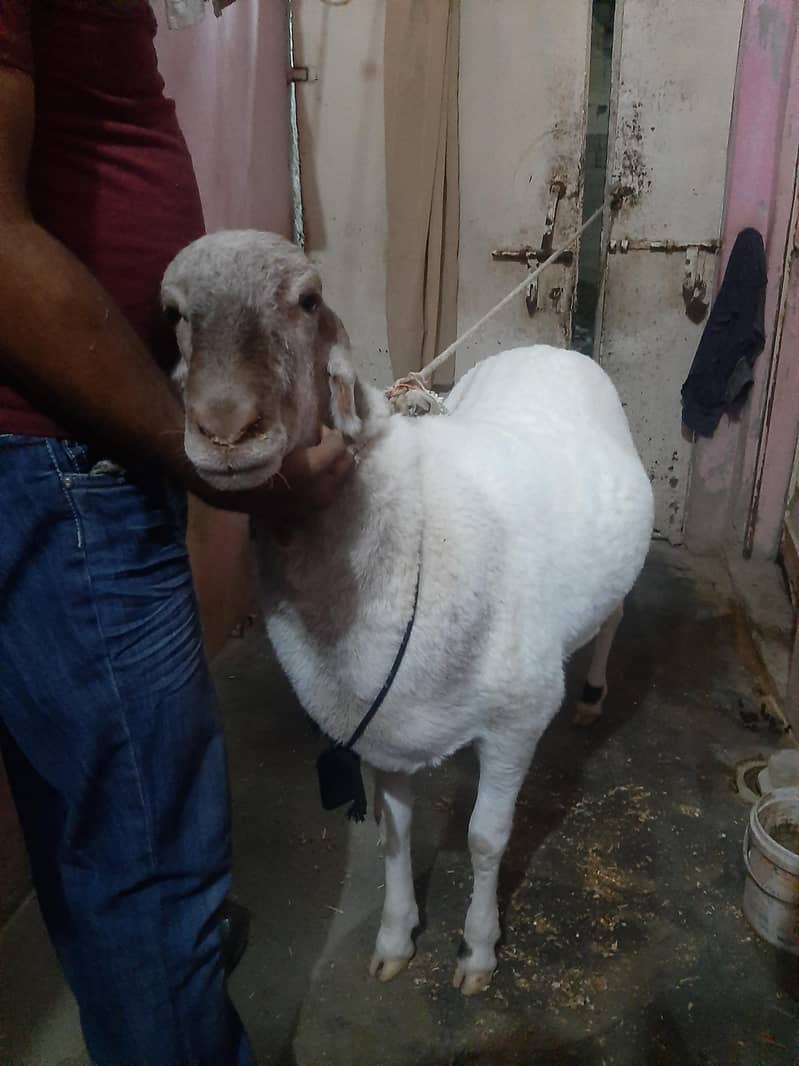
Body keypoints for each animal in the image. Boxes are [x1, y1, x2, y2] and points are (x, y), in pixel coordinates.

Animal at [161, 230, 654, 996]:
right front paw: (395, 940)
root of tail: (550, 350)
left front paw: (478, 951)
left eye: (308, 300)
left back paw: (594, 694)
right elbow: (393, 839)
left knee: (614, 614)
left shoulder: (516, 718)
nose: (223, 429)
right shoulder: (385, 729)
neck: (416, 517)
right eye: (175, 314)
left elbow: (485, 839)